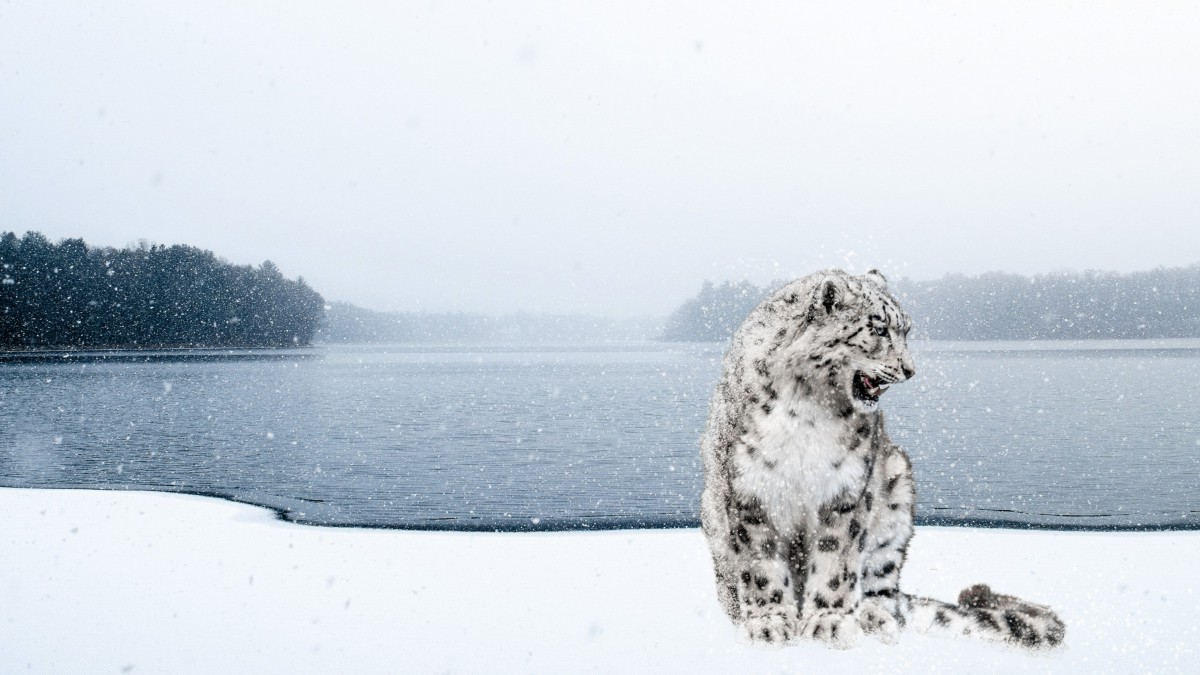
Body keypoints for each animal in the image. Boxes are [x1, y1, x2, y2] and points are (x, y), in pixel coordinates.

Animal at [700, 266, 1065, 648]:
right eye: (878, 329)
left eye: (906, 331)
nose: (910, 369)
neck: (808, 410)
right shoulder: (750, 487)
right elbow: (761, 565)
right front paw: (768, 624)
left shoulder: (846, 487)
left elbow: (837, 560)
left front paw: (829, 623)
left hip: (896, 494)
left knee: (884, 585)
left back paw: (873, 617)